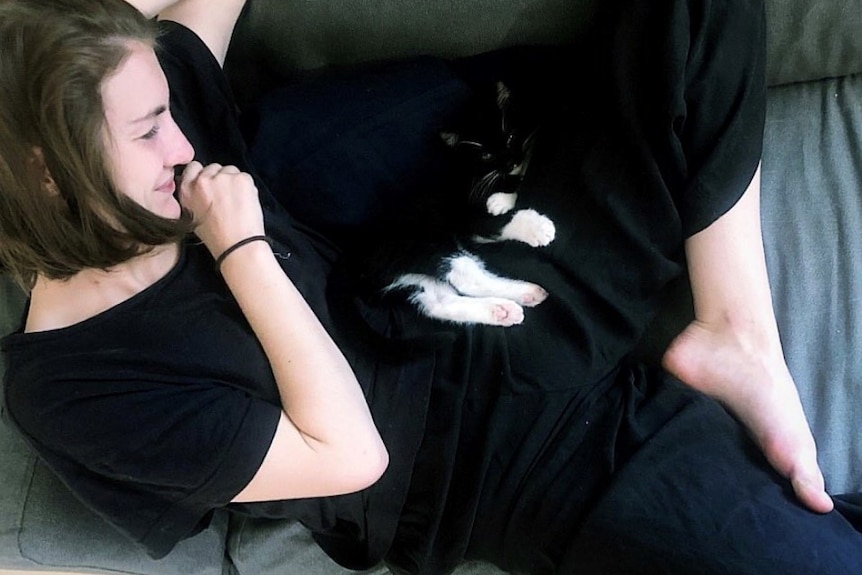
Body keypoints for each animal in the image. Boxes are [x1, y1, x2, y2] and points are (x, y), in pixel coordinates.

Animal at [362, 81, 556, 326]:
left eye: (511, 137)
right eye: (486, 155)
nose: (510, 161)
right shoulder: (469, 211)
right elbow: (498, 218)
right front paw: (537, 227)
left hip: (413, 274)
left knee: (439, 301)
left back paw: (504, 309)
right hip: (423, 244)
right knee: (466, 277)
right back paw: (520, 297)